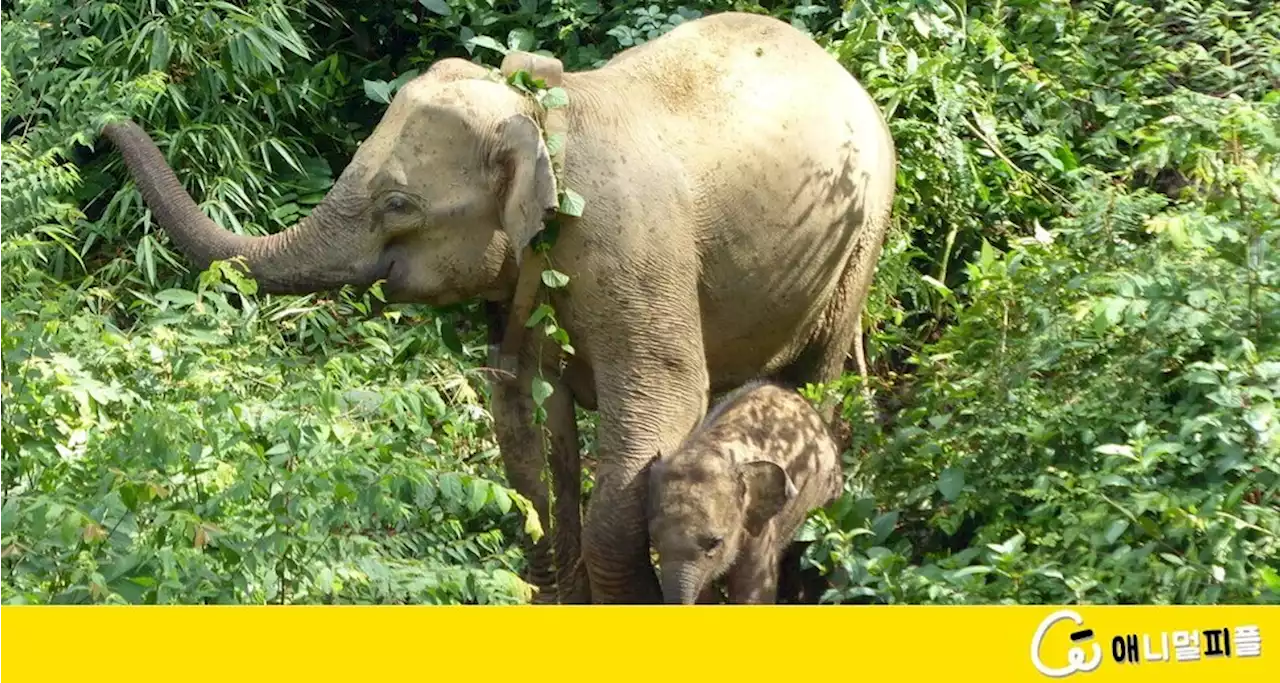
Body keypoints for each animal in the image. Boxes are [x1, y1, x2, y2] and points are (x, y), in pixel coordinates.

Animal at [645, 383, 844, 608]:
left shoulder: (760, 530)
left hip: (828, 500)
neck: (712, 447)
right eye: (653, 540)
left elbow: (752, 595)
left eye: (715, 542)